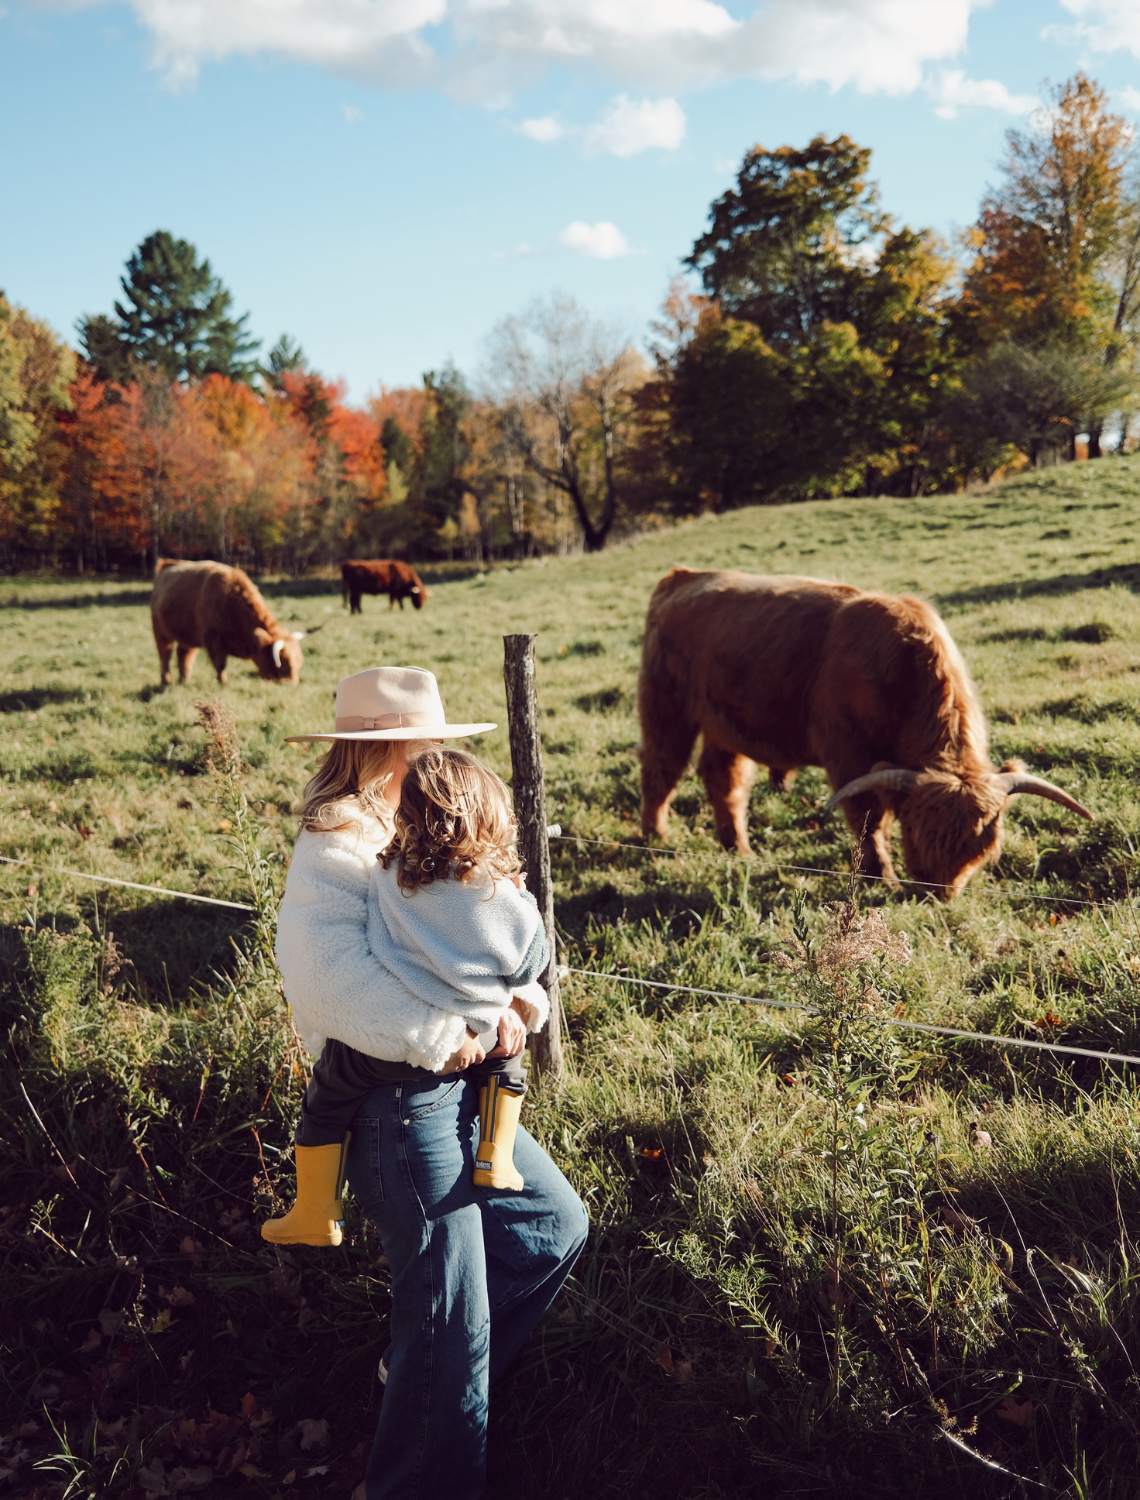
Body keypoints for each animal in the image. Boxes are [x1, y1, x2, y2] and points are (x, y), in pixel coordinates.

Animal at [149, 558, 304, 687]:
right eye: (285, 664)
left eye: (299, 661)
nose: (292, 684)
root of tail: (167, 564)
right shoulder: (214, 642)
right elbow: (220, 665)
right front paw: (223, 683)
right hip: (160, 632)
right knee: (165, 656)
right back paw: (166, 681)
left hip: (188, 636)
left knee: (184, 655)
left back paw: (184, 680)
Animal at [636, 570, 1092, 900]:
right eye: (918, 835)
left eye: (983, 848)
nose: (938, 895)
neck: (901, 671)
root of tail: (682, 576)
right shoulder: (847, 755)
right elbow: (868, 819)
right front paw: (880, 878)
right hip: (666, 709)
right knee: (661, 768)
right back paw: (656, 836)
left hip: (725, 724)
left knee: (723, 778)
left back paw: (739, 849)